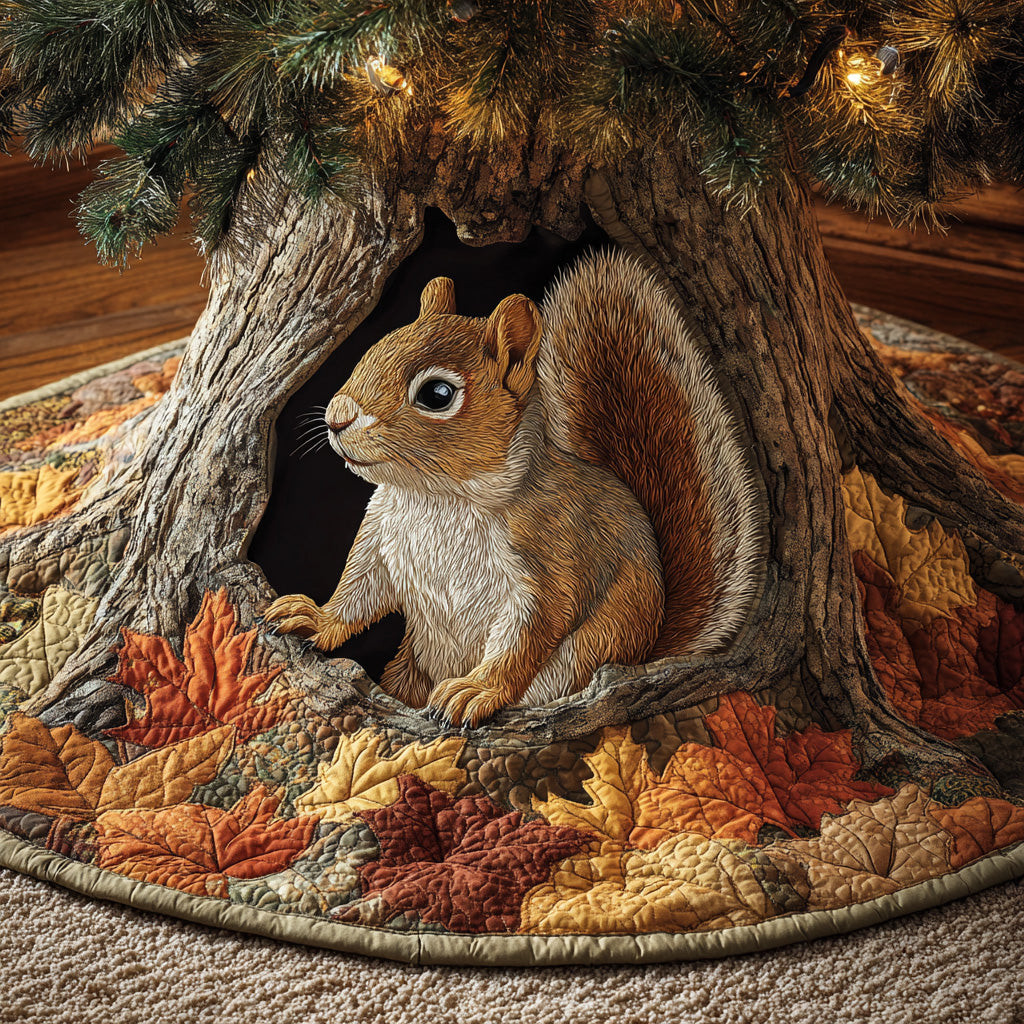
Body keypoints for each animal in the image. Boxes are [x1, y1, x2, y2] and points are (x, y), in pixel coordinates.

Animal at [264, 250, 763, 727]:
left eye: (437, 394)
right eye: (370, 350)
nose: (336, 417)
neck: (438, 496)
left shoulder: (549, 558)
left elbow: (528, 634)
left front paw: (477, 691)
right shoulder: (379, 541)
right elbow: (358, 594)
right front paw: (314, 619)